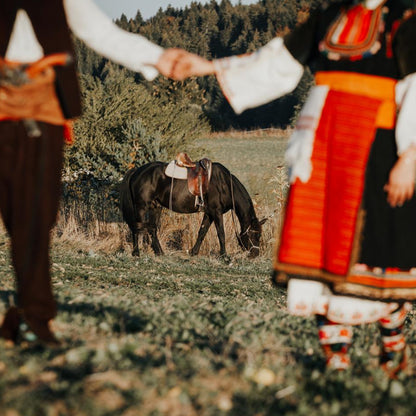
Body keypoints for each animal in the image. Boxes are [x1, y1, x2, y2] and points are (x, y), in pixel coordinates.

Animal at [118, 161, 264, 258]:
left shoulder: (209, 213)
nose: (255, 254)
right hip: (141, 207)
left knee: (152, 229)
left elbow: (202, 232)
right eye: (254, 234)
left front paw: (194, 252)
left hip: (155, 207)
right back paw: (136, 253)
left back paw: (160, 252)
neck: (224, 184)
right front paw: (225, 257)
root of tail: (136, 171)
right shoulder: (216, 212)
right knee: (137, 228)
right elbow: (221, 233)